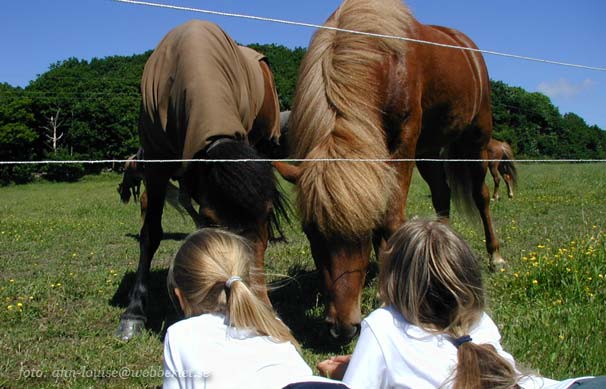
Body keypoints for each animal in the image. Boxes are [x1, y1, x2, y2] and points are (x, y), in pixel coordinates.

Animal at [274, 0, 506, 340]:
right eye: (309, 231)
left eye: (364, 230)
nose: (342, 328)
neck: (380, 59)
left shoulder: (405, 141)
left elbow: (391, 219)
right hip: (429, 151)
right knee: (442, 195)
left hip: (475, 140)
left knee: (481, 195)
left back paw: (495, 256)